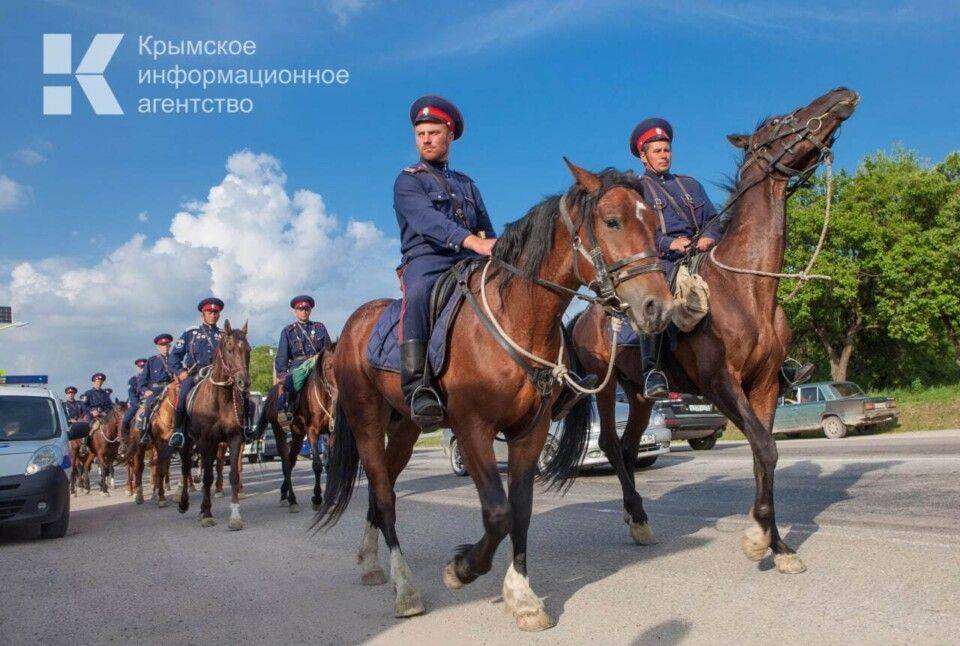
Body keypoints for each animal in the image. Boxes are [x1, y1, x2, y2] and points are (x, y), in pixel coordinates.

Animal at [176, 322, 251, 532]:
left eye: (248, 350)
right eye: (230, 348)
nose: (244, 382)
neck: (221, 399)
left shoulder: (234, 439)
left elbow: (233, 475)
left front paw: (235, 516)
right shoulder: (206, 441)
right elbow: (207, 476)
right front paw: (208, 514)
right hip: (188, 444)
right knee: (186, 469)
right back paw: (185, 503)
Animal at [256, 346, 340, 512]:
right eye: (328, 366)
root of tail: (271, 393)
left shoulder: (330, 432)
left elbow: (329, 463)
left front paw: (329, 498)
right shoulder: (312, 432)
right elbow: (317, 465)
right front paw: (317, 498)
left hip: (298, 436)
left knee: (291, 459)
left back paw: (284, 494)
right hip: (279, 432)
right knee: (286, 464)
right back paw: (292, 500)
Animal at [312, 162, 672, 632]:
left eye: (655, 225)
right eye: (612, 221)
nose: (657, 307)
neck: (516, 316)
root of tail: (352, 325)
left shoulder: (530, 433)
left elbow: (520, 508)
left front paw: (523, 597)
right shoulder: (472, 430)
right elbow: (498, 513)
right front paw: (461, 569)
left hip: (407, 429)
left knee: (380, 487)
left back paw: (373, 562)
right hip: (367, 424)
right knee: (386, 496)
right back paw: (405, 588)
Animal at [568, 87, 860, 576]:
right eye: (779, 121)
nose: (842, 95)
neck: (748, 288)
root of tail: (583, 316)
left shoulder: (764, 385)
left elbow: (765, 455)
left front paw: (778, 545)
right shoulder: (722, 383)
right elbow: (766, 449)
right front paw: (757, 539)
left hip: (642, 395)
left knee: (628, 447)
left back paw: (636, 516)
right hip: (606, 387)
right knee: (609, 443)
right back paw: (635, 516)